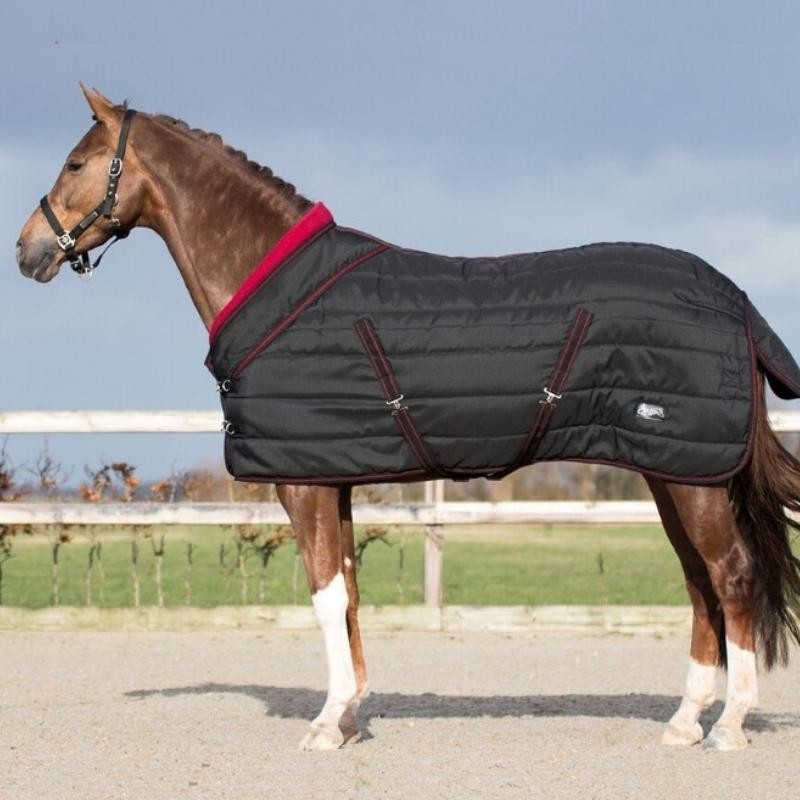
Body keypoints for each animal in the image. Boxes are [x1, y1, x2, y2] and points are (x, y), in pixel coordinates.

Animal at [16, 87, 800, 752]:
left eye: (75, 162)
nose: (28, 250)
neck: (280, 290)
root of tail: (733, 297)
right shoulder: (332, 479)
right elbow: (350, 593)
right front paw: (351, 715)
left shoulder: (301, 483)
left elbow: (326, 596)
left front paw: (326, 723)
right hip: (672, 473)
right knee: (698, 583)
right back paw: (683, 722)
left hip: (692, 476)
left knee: (730, 575)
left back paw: (728, 726)